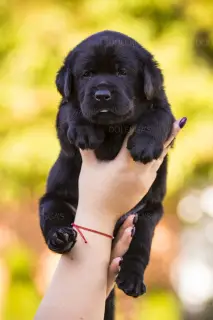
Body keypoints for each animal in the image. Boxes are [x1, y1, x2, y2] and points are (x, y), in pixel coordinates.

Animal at [39, 30, 174, 320]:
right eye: (87, 74)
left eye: (122, 72)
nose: (102, 94)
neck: (113, 127)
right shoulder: (65, 115)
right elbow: (71, 110)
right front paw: (84, 130)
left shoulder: (162, 106)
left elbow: (156, 118)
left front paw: (144, 145)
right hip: (52, 203)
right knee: (55, 222)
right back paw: (61, 237)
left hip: (145, 217)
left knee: (139, 248)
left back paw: (132, 280)